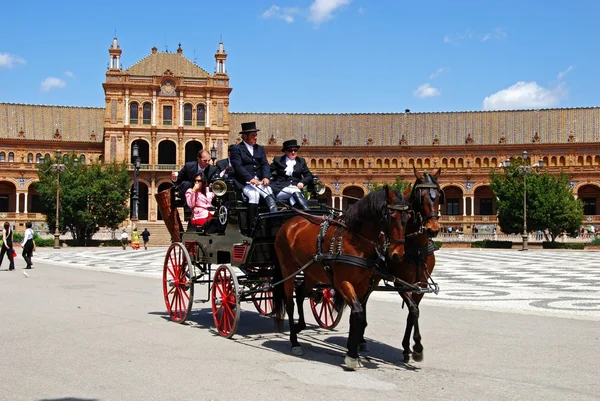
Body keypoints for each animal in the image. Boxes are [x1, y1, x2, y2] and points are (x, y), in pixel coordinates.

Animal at [274, 186, 410, 368]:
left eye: (408, 218)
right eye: (391, 217)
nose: (398, 255)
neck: (355, 241)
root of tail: (289, 223)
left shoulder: (362, 284)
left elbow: (357, 315)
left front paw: (353, 350)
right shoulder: (342, 282)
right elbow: (358, 312)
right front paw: (352, 356)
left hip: (310, 271)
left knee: (301, 294)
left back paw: (299, 326)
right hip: (288, 269)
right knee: (290, 303)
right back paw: (294, 341)